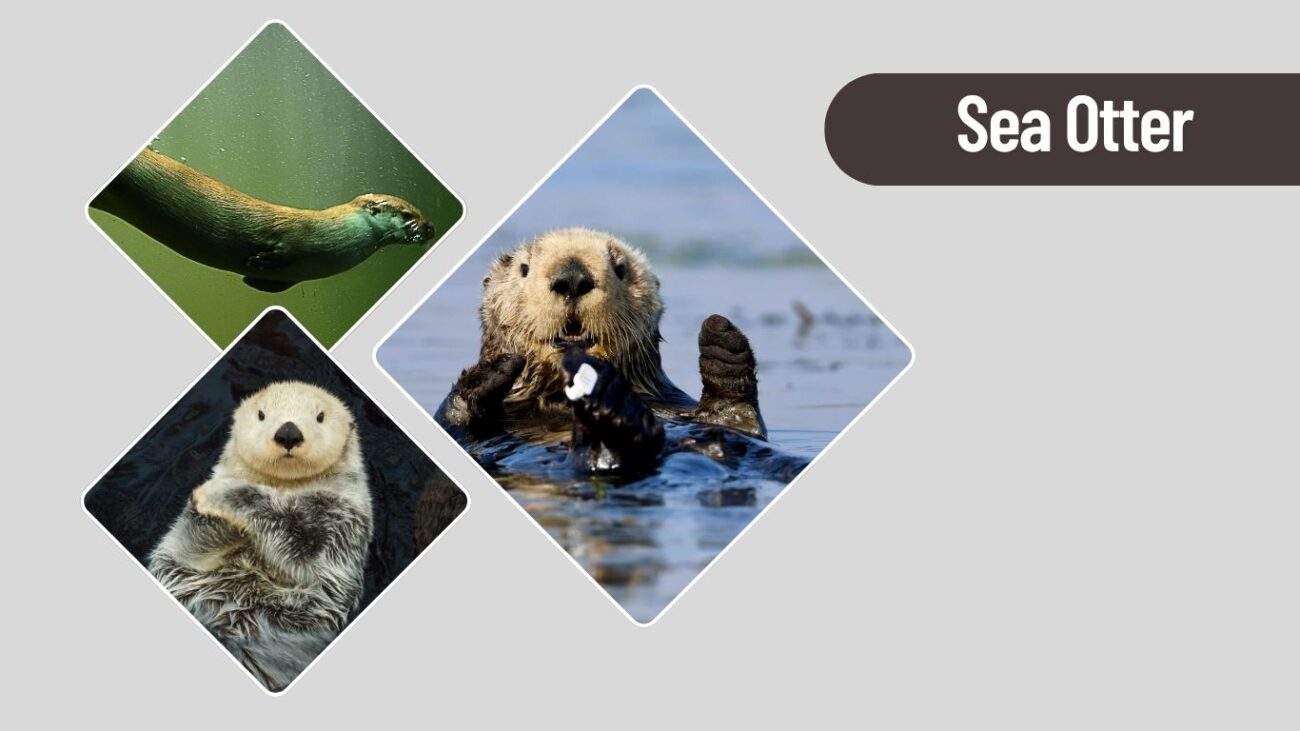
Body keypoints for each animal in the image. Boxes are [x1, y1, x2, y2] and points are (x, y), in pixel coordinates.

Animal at [90, 148, 436, 291]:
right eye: (409, 215)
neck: (335, 235)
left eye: (421, 214)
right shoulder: (296, 235)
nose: (431, 226)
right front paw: (260, 260)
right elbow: (281, 247)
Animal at [148, 381, 373, 692]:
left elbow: (300, 543)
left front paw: (218, 493)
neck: (284, 487)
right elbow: (189, 544)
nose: (289, 433)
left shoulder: (341, 524)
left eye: (320, 417)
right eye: (261, 415)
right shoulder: (184, 552)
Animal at [436, 228, 785, 474]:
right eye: (524, 268)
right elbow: (453, 423)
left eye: (620, 268)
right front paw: (493, 370)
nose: (572, 278)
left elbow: (738, 424)